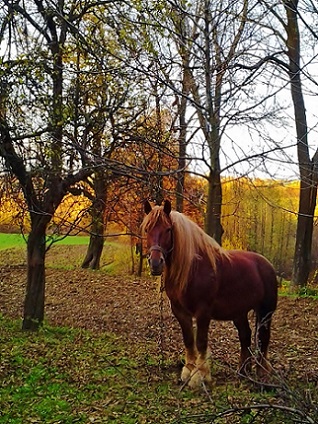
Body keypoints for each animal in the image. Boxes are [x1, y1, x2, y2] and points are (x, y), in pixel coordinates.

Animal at [142, 200, 278, 390]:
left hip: (266, 312)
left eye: (168, 229)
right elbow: (188, 340)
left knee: (263, 338)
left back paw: (261, 374)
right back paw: (242, 372)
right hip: (239, 313)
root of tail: (267, 265)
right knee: (246, 336)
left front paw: (200, 377)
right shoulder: (180, 312)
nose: (155, 263)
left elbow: (200, 342)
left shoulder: (203, 312)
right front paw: (188, 372)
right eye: (147, 229)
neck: (193, 268)